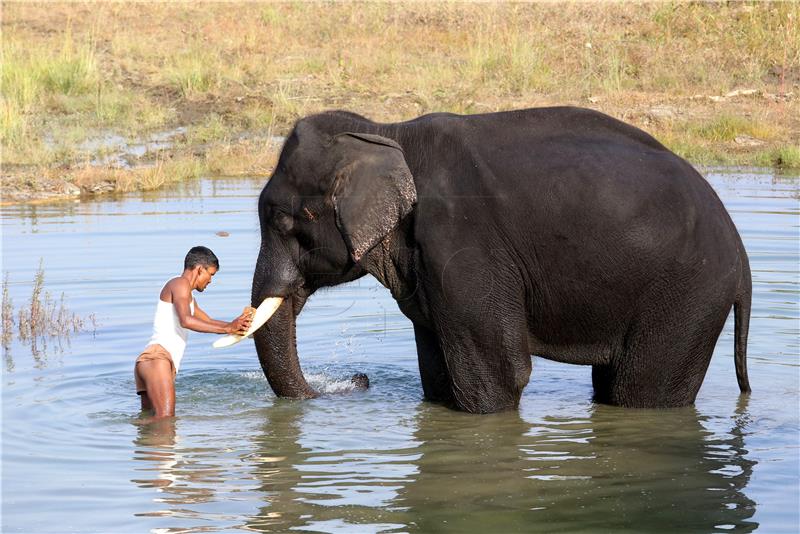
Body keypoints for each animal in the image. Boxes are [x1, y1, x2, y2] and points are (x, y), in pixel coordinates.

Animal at [245, 104, 752, 414]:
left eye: (286, 221)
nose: (359, 377)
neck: (386, 133)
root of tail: (741, 257)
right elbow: (438, 374)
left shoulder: (464, 244)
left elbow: (496, 375)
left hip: (687, 296)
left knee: (641, 391)